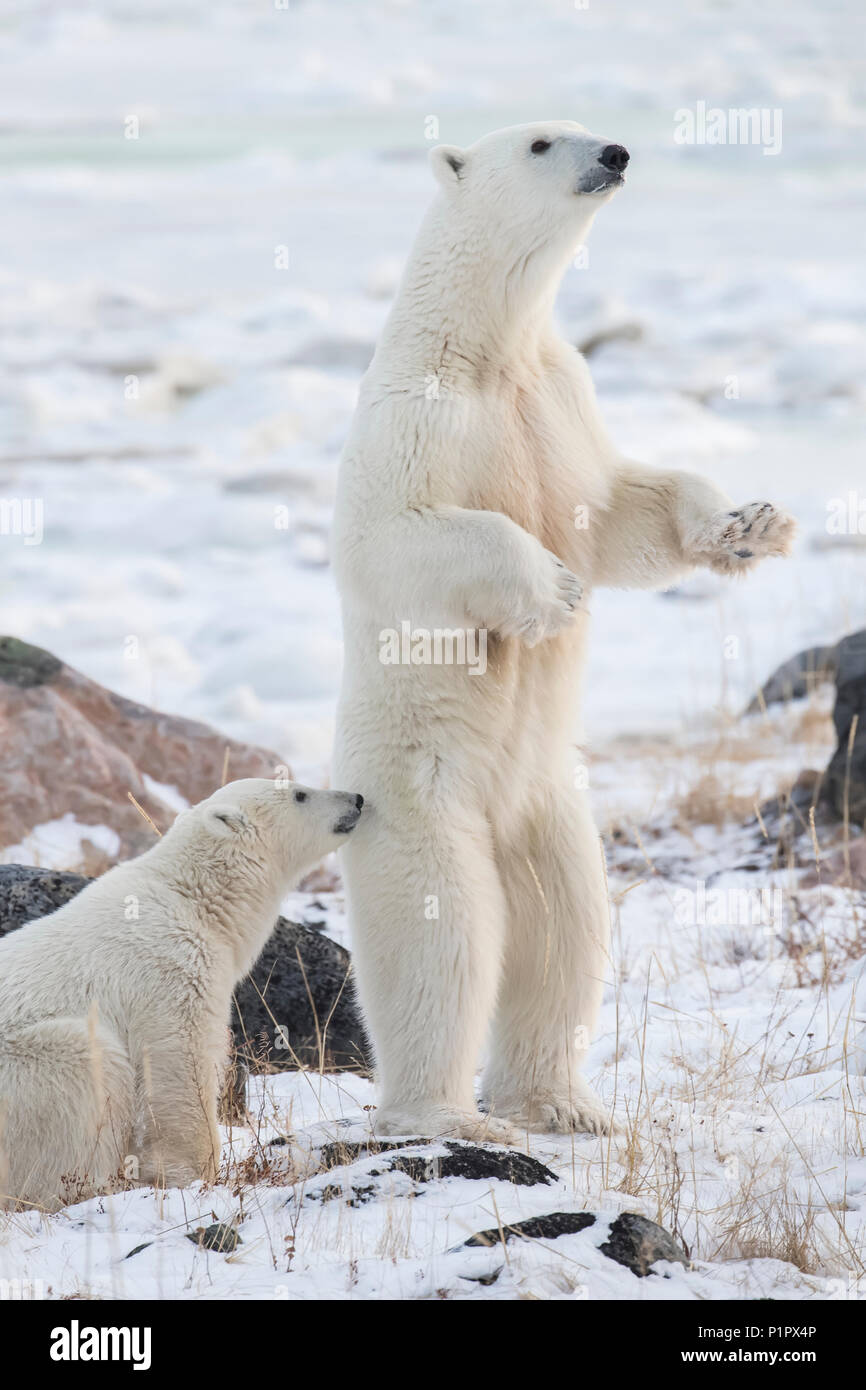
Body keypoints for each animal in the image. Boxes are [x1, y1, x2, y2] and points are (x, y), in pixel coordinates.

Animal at [0, 778, 364, 1212]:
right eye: (300, 794)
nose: (358, 799)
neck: (192, 896)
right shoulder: (171, 967)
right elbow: (179, 1062)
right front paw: (192, 1172)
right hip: (28, 1071)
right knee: (86, 1062)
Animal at [333, 122, 800, 1139]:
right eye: (543, 141)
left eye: (583, 124)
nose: (617, 152)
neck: (489, 348)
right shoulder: (417, 417)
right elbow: (402, 535)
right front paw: (551, 590)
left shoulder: (558, 397)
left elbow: (620, 506)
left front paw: (749, 526)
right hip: (418, 795)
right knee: (443, 936)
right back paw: (446, 1114)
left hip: (552, 806)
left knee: (565, 925)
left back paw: (563, 1103)